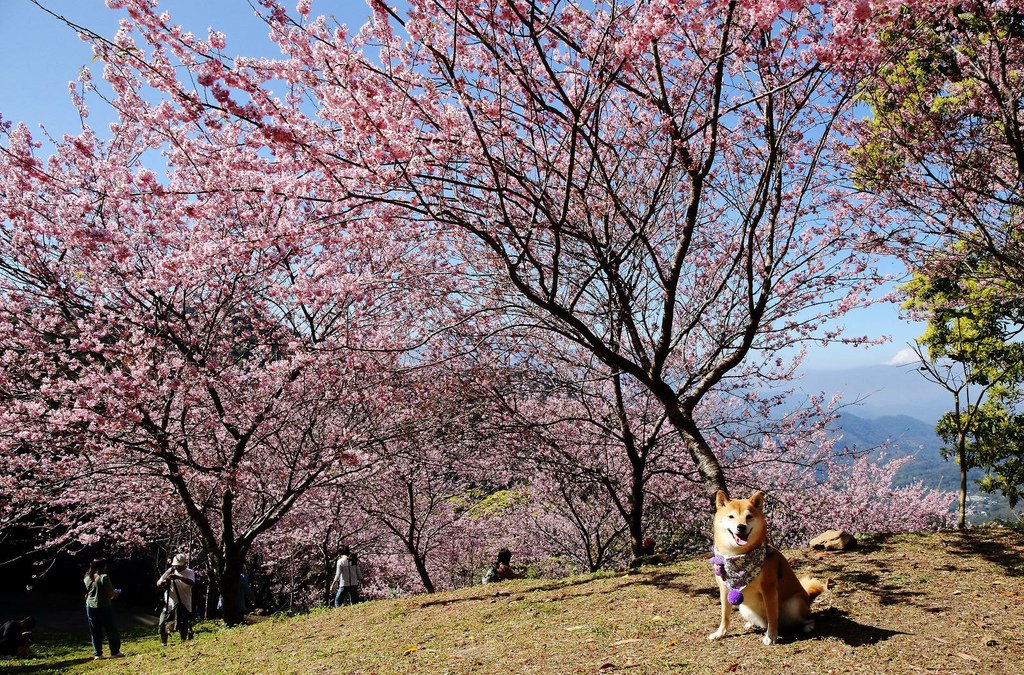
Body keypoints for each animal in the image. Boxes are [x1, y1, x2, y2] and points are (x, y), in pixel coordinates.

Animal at [704, 491, 823, 643]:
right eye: (731, 516)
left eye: (749, 516)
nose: (741, 526)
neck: (737, 556)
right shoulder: (724, 589)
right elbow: (725, 615)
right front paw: (720, 633)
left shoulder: (768, 589)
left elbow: (772, 615)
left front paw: (771, 636)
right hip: (744, 608)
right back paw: (750, 624)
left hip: (793, 604)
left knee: (809, 618)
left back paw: (808, 627)